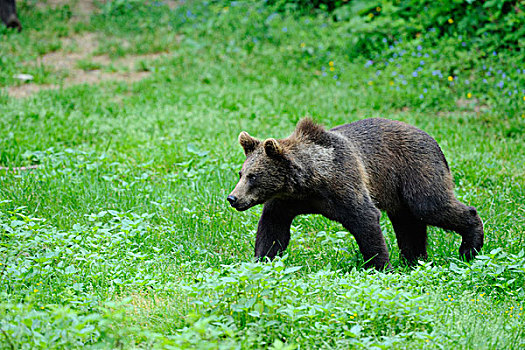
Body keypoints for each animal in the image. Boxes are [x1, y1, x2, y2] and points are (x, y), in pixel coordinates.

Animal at [227, 118, 486, 270]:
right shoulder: (287, 202)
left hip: (416, 168)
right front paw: (262, 262)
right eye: (241, 173)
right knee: (408, 223)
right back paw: (414, 259)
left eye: (254, 176)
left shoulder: (344, 183)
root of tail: (433, 140)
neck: (309, 181)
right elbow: (272, 229)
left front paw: (380, 266)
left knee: (430, 206)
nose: (233, 198)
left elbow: (365, 219)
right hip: (398, 192)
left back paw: (469, 248)